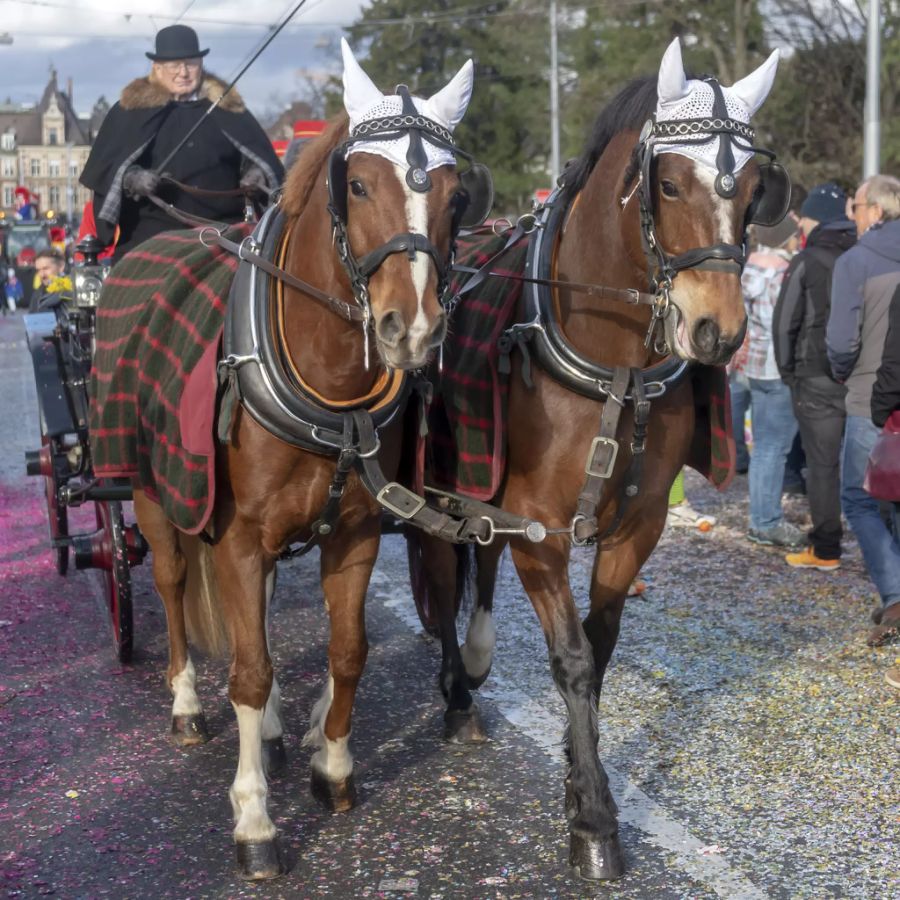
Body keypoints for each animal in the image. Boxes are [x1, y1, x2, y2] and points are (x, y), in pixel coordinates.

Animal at [107, 42, 492, 880]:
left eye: (457, 195)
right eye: (359, 183)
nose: (411, 330)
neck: (332, 390)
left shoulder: (353, 531)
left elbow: (347, 652)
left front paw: (332, 766)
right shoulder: (237, 536)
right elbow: (248, 670)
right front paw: (255, 821)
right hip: (153, 492)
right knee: (174, 585)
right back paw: (187, 703)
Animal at [412, 40, 792, 880]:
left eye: (756, 188)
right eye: (669, 182)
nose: (719, 331)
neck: (614, 361)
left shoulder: (637, 521)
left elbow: (603, 644)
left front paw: (574, 762)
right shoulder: (541, 526)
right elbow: (573, 657)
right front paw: (592, 816)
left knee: (479, 560)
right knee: (446, 576)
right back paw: (457, 690)